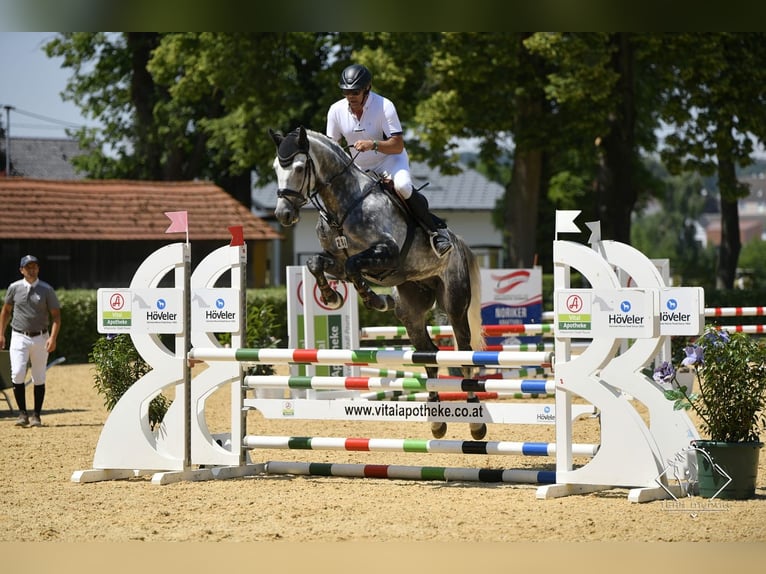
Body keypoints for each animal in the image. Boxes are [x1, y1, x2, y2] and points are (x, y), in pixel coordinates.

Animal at [270, 127, 486, 440]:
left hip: (455, 305)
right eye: (276, 168)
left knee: (465, 352)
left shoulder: (387, 254)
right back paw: (437, 421)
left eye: (299, 168)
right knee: (429, 353)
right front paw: (332, 297)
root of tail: (458, 243)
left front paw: (375, 299)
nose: (283, 215)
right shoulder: (337, 260)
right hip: (411, 310)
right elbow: (318, 264)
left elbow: (353, 266)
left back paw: (475, 422)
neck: (342, 207)